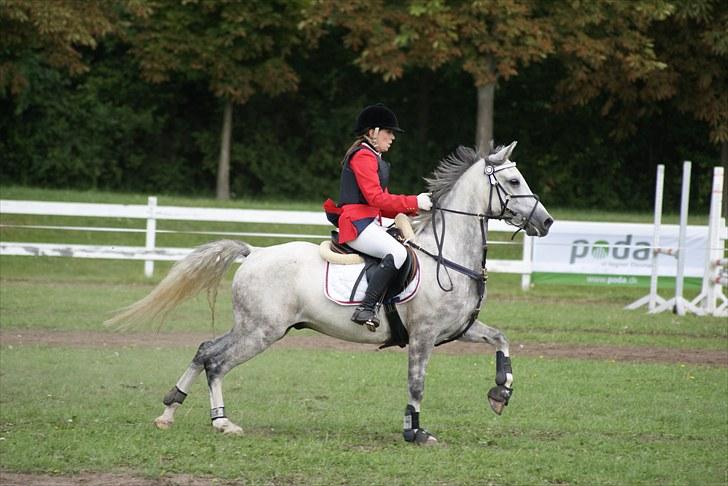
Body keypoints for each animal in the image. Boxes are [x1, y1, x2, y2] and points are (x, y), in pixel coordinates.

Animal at [106, 142, 553, 445]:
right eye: (513, 180)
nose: (547, 222)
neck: (447, 254)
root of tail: (254, 253)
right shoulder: (423, 337)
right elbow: (417, 384)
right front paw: (415, 432)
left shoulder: (459, 329)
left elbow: (502, 339)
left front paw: (500, 394)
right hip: (262, 332)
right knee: (217, 361)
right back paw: (221, 421)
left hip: (254, 326)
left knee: (204, 350)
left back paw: (170, 410)